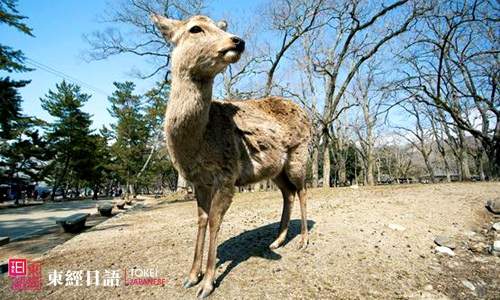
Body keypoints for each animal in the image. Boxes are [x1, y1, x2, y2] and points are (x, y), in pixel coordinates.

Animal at [150, 14, 310, 298]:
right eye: (195, 28)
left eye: (219, 26)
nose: (238, 40)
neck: (196, 143)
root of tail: (309, 116)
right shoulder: (198, 181)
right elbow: (201, 220)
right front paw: (191, 276)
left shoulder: (227, 172)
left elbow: (215, 220)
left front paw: (207, 283)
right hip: (276, 170)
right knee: (288, 193)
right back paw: (277, 241)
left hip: (299, 156)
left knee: (302, 190)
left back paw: (303, 240)